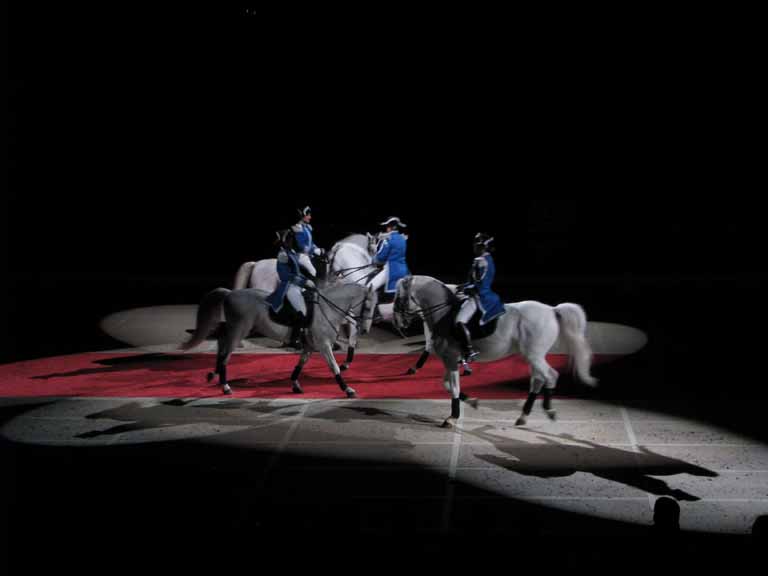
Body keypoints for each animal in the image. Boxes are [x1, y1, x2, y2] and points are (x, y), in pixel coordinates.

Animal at [182, 282, 376, 396]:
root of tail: (230, 293)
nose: (365, 330)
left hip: (235, 328)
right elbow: (334, 366)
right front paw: (347, 389)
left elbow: (300, 364)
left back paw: (213, 374)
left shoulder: (310, 346)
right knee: (225, 352)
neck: (327, 309)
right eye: (367, 306)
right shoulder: (323, 345)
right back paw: (225, 386)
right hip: (239, 330)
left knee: (221, 341)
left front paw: (295, 385)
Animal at [392, 274, 596, 428]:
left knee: (551, 376)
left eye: (399, 297)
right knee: (538, 380)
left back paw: (549, 410)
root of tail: (552, 310)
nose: (397, 322)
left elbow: (453, 387)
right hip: (533, 356)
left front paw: (452, 418)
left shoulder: (450, 359)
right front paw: (473, 401)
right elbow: (447, 385)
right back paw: (523, 416)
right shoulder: (452, 360)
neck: (445, 313)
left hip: (534, 355)